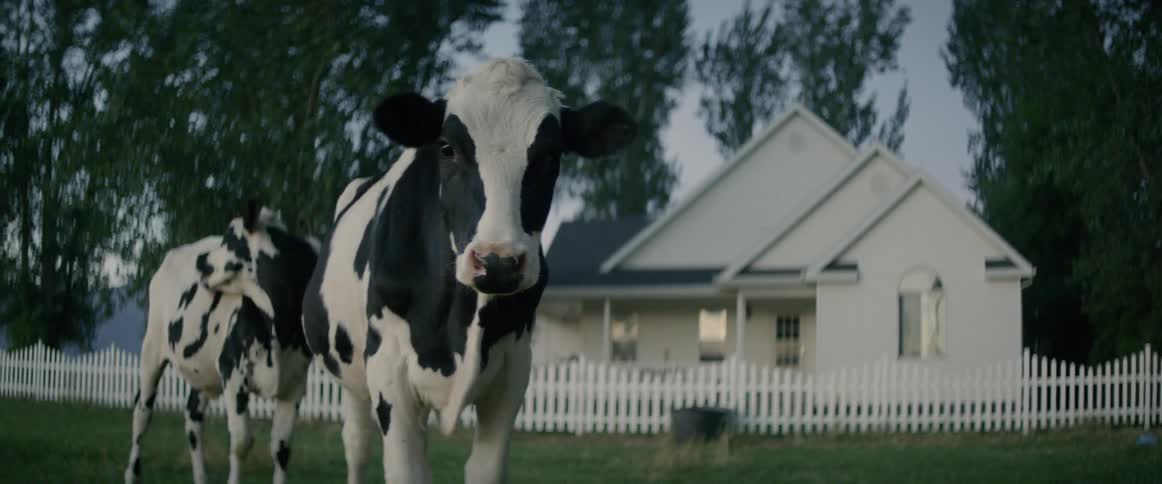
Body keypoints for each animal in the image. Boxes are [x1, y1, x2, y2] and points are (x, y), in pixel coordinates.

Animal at [124, 202, 319, 484]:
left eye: (229, 239)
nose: (202, 261)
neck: (279, 323)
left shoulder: (294, 383)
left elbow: (281, 449)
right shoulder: (233, 369)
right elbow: (240, 442)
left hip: (203, 370)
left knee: (193, 417)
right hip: (152, 348)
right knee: (142, 412)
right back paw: (131, 474)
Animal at [301, 57, 638, 484]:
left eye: (552, 156)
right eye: (447, 148)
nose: (498, 261)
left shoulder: (515, 368)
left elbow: (484, 468)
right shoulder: (388, 369)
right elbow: (405, 469)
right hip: (351, 378)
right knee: (356, 445)